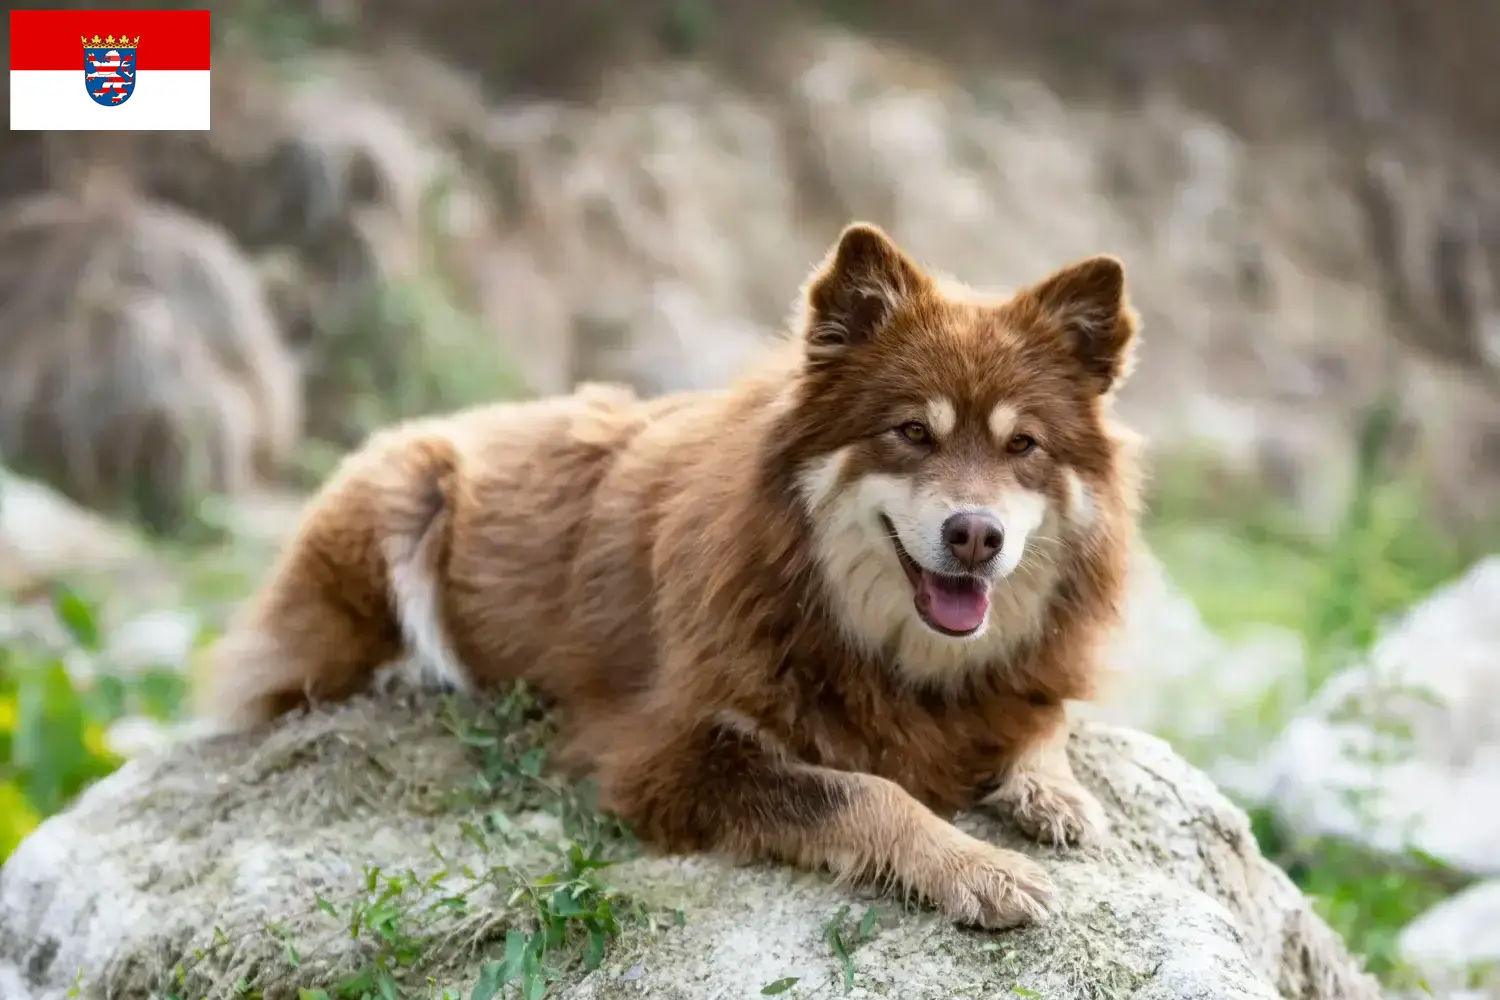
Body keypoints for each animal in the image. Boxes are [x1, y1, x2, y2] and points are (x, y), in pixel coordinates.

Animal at [199, 224, 1140, 929]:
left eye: (1024, 446)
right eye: (912, 432)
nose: (976, 536)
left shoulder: (1022, 680)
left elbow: (1044, 720)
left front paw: (1054, 794)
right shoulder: (666, 758)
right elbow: (862, 792)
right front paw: (976, 866)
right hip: (401, 494)